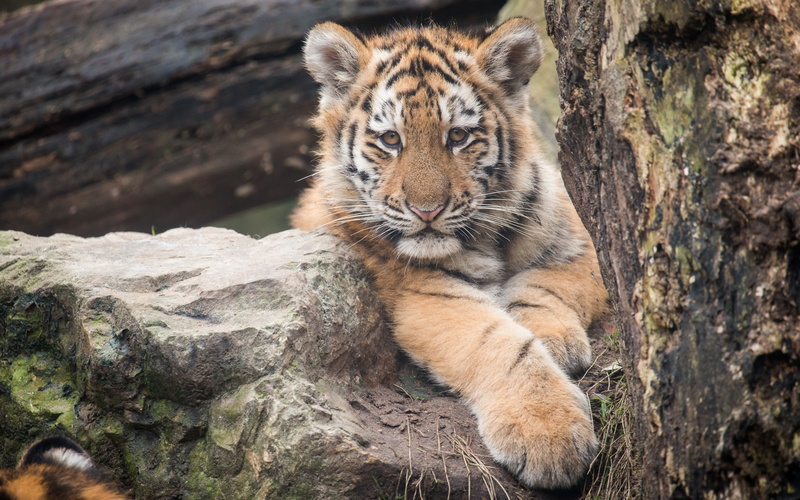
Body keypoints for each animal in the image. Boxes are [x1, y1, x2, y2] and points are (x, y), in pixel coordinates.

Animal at [292, 17, 609, 489]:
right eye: (390, 140)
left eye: (458, 136)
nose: (427, 210)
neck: (485, 237)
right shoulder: (425, 294)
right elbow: (498, 344)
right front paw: (548, 431)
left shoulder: (581, 243)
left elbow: (545, 287)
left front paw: (554, 338)